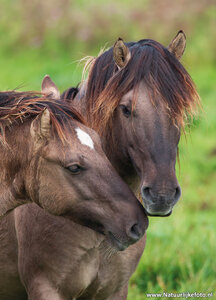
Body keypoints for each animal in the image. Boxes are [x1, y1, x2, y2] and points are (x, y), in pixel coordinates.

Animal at [0, 31, 199, 300]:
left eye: (180, 111)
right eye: (126, 109)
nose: (162, 195)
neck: (98, 237)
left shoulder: (115, 289)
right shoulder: (45, 287)